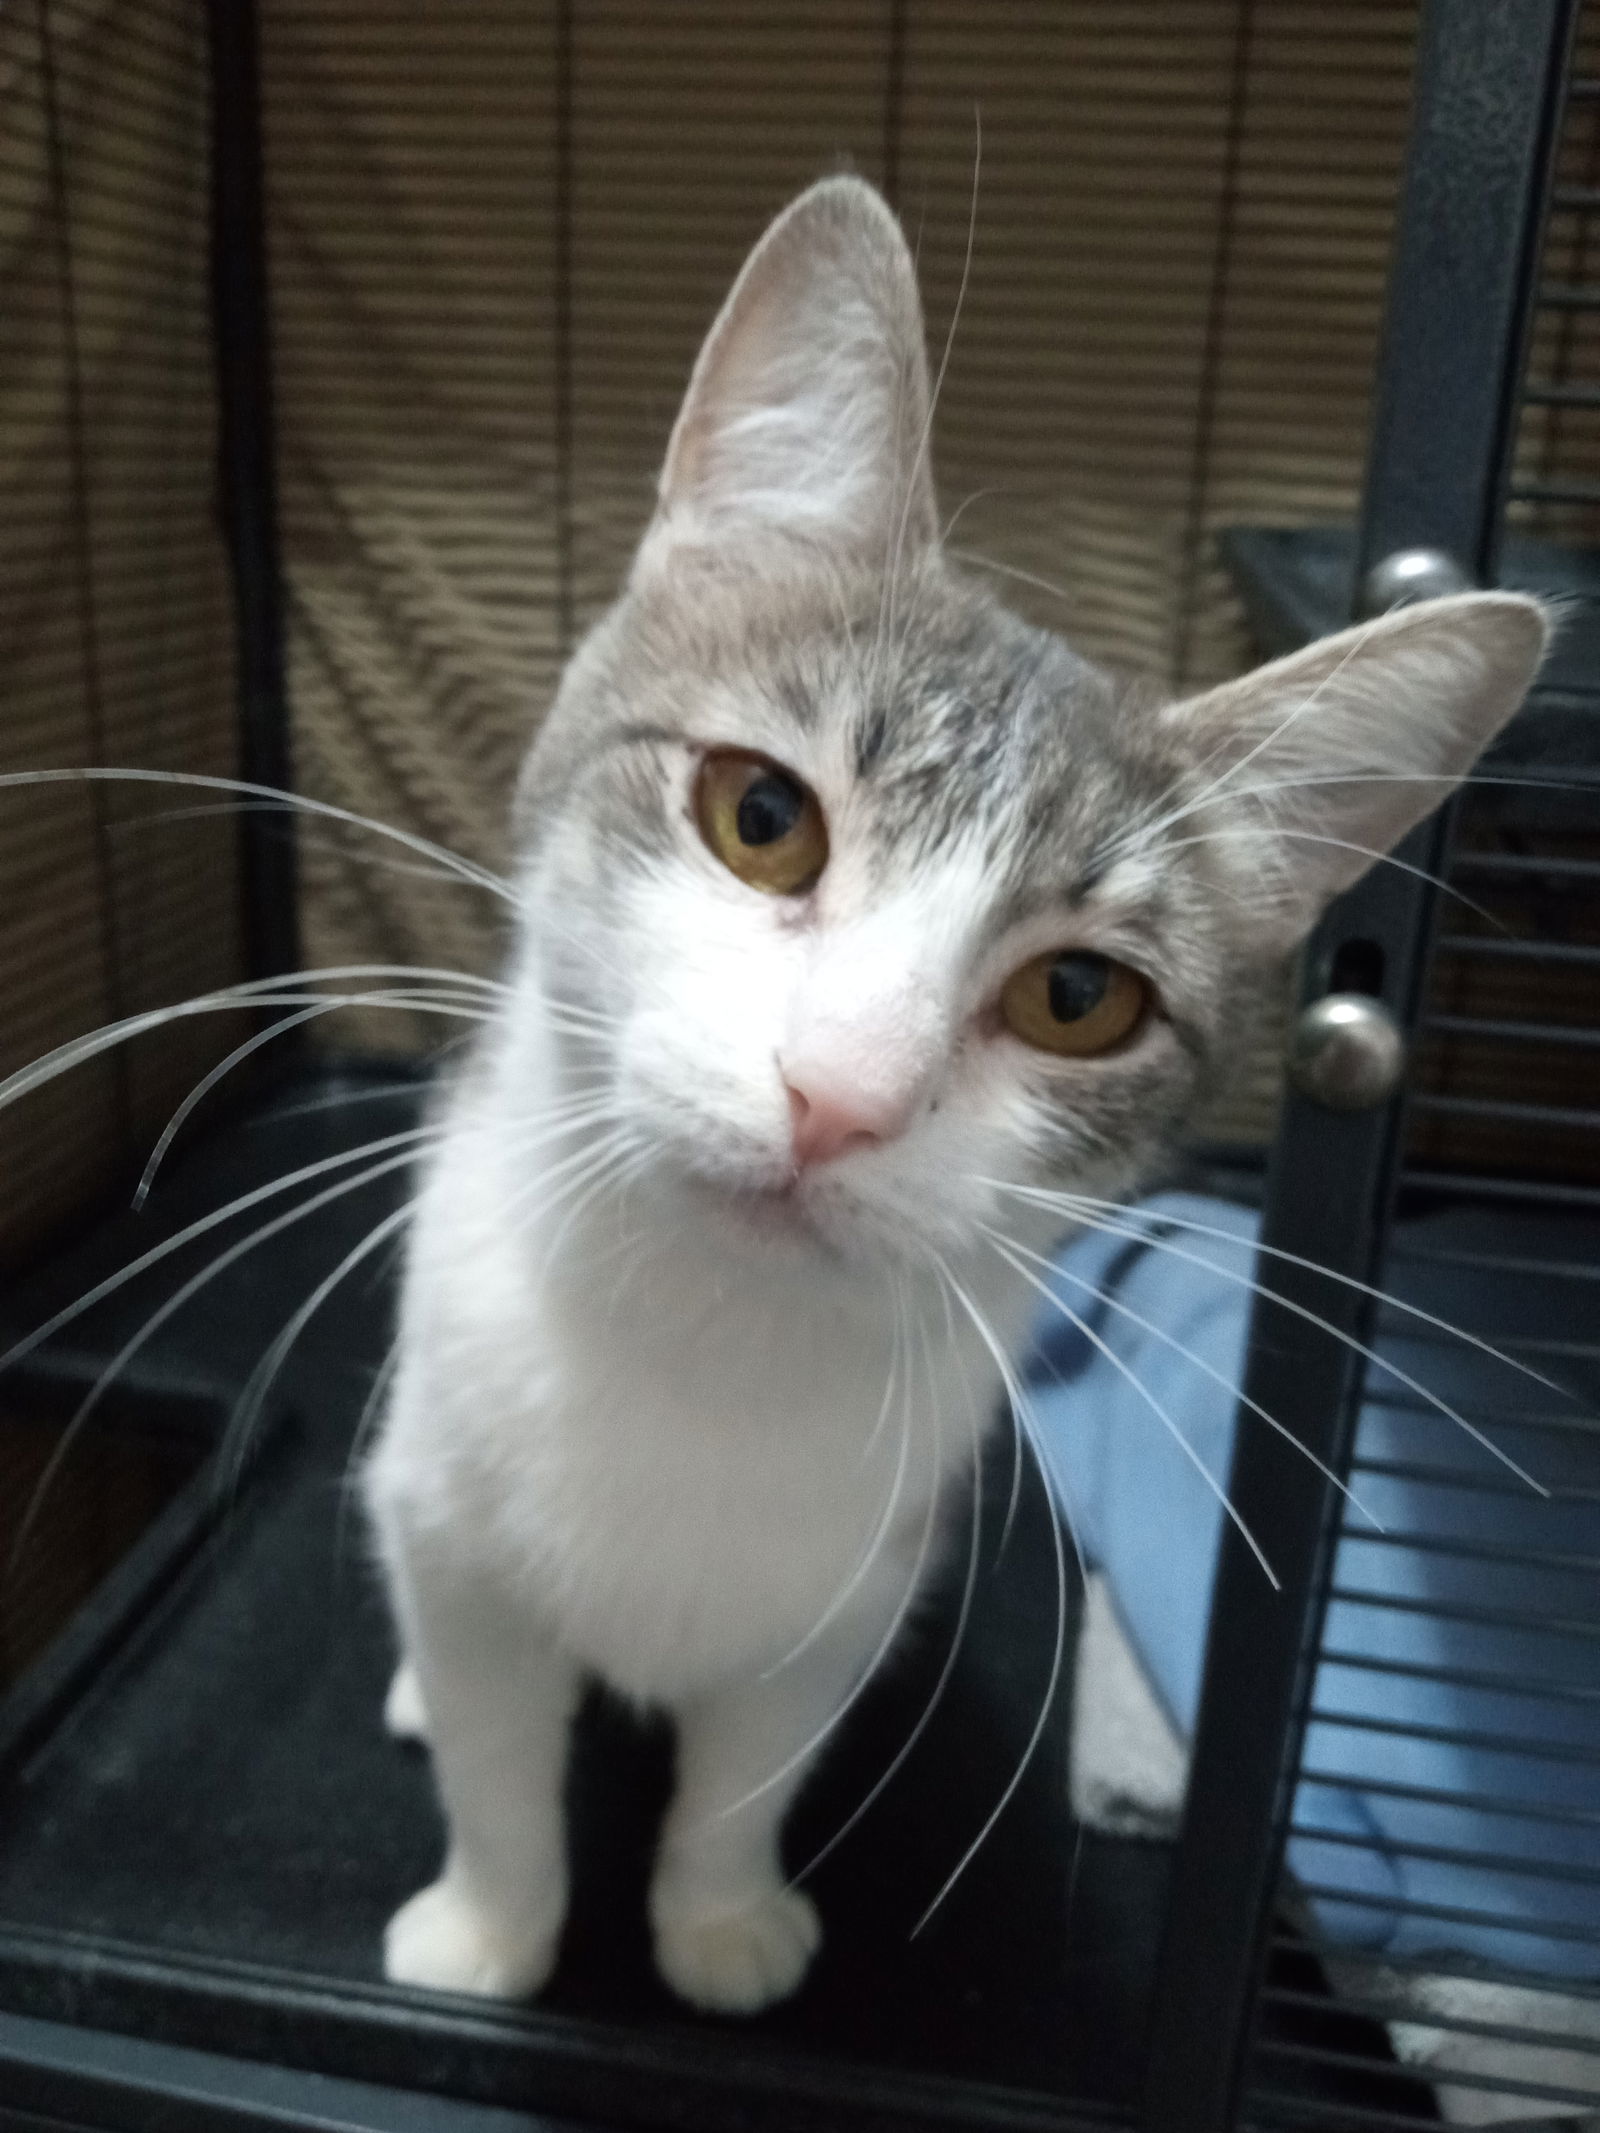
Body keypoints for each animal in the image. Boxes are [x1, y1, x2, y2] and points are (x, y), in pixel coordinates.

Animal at [366, 170, 1553, 2013]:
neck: (707, 1340)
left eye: (1078, 996)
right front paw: (490, 1925)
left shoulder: (854, 1586)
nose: (837, 1094)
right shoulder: (449, 1510)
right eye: (761, 816)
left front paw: (720, 1918)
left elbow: (753, 1764)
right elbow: (498, 1739)